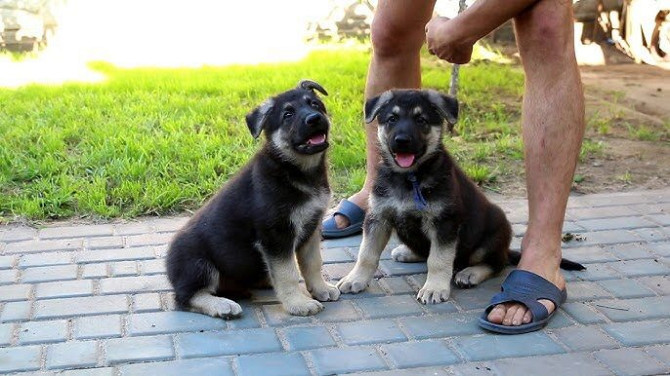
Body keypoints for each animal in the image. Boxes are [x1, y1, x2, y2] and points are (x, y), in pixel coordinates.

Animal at [168, 79, 342, 318]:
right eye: (288, 114)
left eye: (315, 104)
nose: (314, 119)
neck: (295, 169)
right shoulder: (276, 235)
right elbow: (288, 272)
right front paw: (298, 303)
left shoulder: (312, 226)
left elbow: (313, 263)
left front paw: (321, 288)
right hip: (198, 264)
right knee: (186, 297)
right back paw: (222, 305)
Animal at [338, 89, 584, 304]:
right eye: (391, 119)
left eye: (421, 120)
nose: (402, 141)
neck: (410, 178)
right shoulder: (378, 217)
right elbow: (366, 253)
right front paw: (355, 279)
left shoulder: (444, 223)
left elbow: (438, 260)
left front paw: (434, 288)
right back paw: (408, 252)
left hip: (491, 236)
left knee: (497, 263)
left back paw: (470, 273)